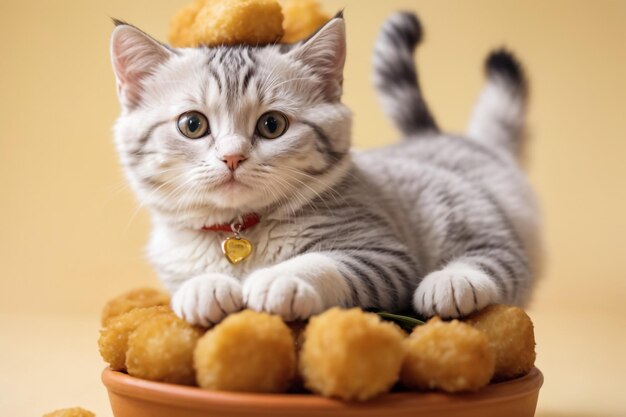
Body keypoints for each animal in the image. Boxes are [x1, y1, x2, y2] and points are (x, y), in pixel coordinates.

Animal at [109, 11, 540, 326]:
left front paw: (281, 277)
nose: (232, 156)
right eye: (192, 124)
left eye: (272, 125)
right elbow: (187, 281)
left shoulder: (385, 255)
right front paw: (204, 288)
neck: (242, 229)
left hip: (465, 214)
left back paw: (452, 282)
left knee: (502, 260)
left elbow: (322, 262)